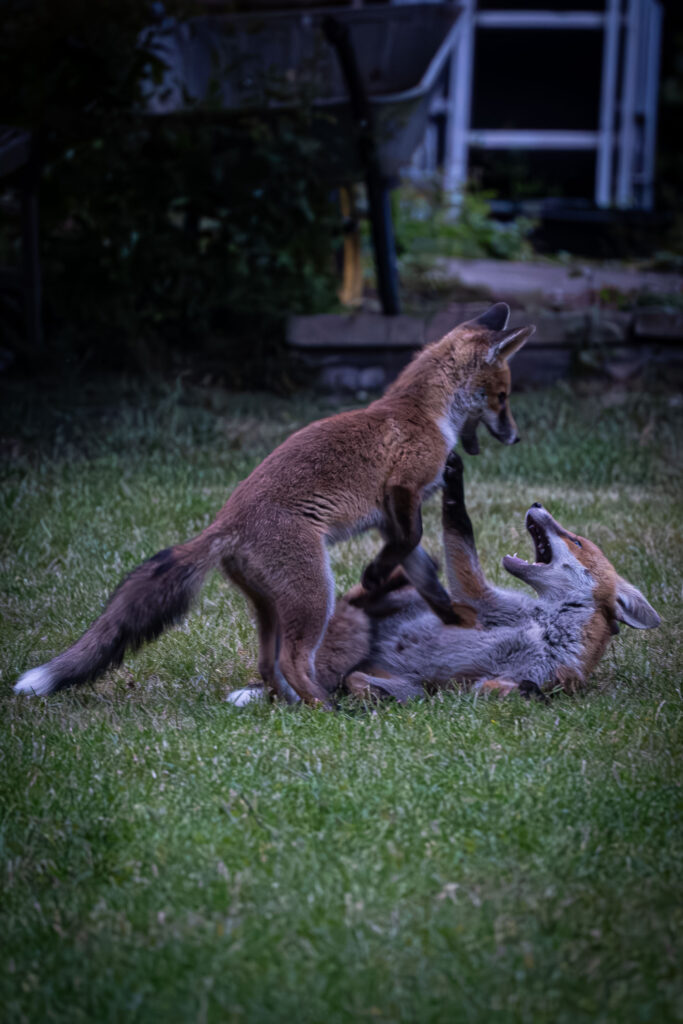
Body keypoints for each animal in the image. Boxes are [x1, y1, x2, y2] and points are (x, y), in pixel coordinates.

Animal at [15, 303, 534, 706]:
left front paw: (457, 620)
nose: (516, 437)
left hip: (270, 607)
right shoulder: (402, 490)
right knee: (292, 660)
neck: (425, 412)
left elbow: (426, 574)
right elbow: (412, 541)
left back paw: (291, 703)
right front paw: (375, 578)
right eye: (502, 396)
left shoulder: (392, 516)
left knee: (269, 664)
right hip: (315, 596)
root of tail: (224, 523)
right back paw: (327, 709)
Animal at [229, 451, 660, 706]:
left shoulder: (517, 679)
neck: (549, 627)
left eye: (576, 540)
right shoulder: (482, 602)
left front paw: (529, 694)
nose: (537, 503)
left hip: (407, 684)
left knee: (358, 682)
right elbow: (460, 537)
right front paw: (454, 485)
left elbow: (515, 690)